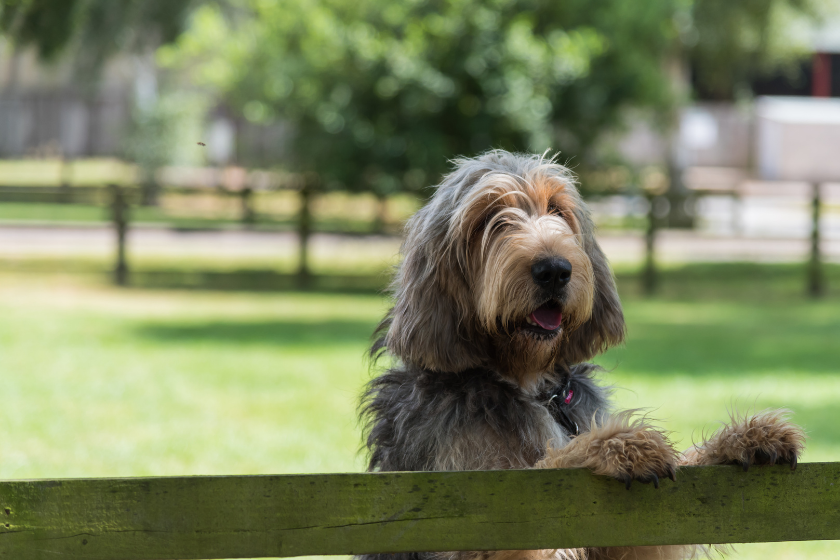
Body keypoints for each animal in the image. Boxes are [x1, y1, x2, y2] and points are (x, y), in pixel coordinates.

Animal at [360, 151, 808, 560]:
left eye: (557, 209)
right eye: (489, 217)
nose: (555, 269)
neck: (530, 383)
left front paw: (746, 437)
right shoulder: (471, 509)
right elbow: (551, 466)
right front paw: (619, 445)